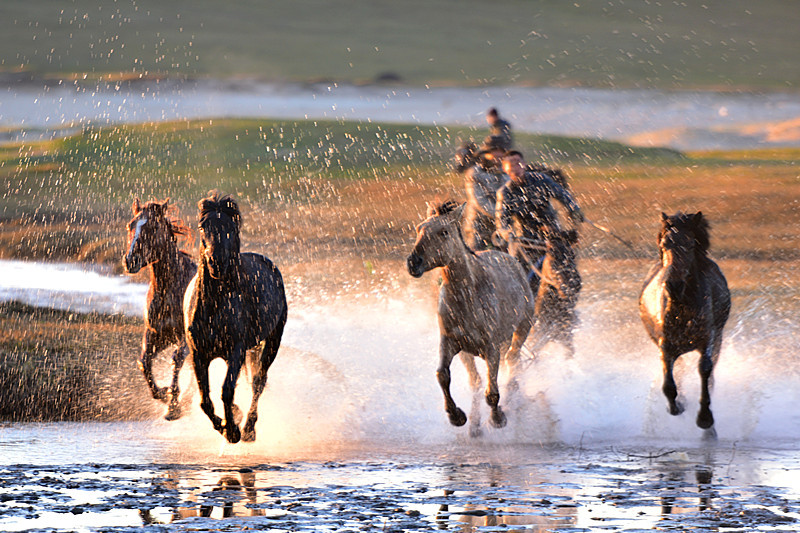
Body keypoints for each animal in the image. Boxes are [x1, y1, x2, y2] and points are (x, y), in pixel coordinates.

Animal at [123, 197, 197, 418]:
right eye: (130, 225)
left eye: (153, 227)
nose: (130, 261)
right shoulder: (157, 335)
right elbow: (144, 362)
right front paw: (164, 394)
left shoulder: (185, 338)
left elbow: (176, 359)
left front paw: (174, 406)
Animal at [184, 191, 288, 440]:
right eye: (202, 226)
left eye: (232, 226)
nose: (216, 262)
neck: (213, 308)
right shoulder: (198, 353)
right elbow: (204, 400)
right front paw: (225, 424)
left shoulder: (236, 350)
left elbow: (226, 390)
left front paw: (232, 430)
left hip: (272, 340)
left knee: (258, 381)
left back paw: (249, 429)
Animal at [636, 211, 732, 432]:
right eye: (665, 245)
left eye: (689, 244)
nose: (674, 284)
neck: (683, 306)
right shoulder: (666, 345)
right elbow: (668, 385)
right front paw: (677, 406)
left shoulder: (708, 339)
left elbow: (705, 370)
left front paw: (705, 418)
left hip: (718, 339)